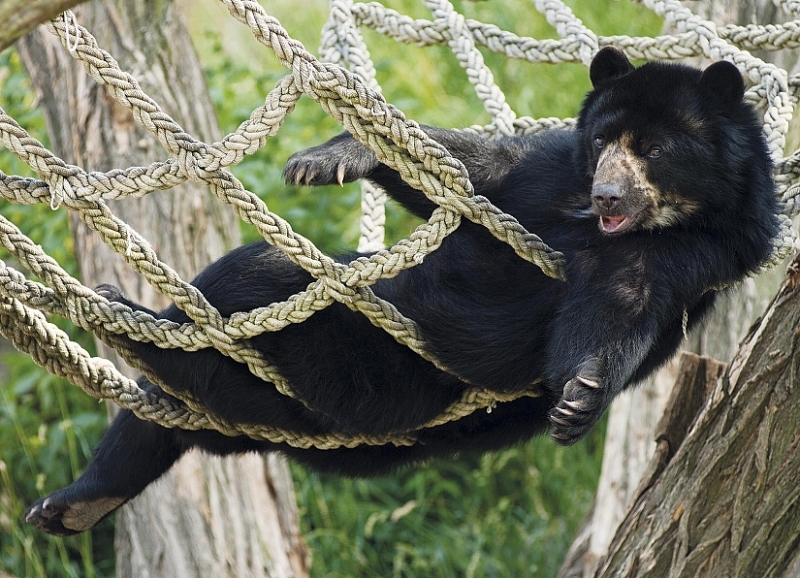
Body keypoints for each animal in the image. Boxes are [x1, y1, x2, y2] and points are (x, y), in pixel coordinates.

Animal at [26, 47, 780, 532]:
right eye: (602, 141)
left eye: (654, 149)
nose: (608, 197)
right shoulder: (551, 175)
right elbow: (477, 174)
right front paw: (332, 156)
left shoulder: (697, 253)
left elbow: (620, 303)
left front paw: (577, 398)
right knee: (155, 418)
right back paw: (77, 499)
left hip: (366, 373)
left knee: (250, 279)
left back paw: (129, 320)